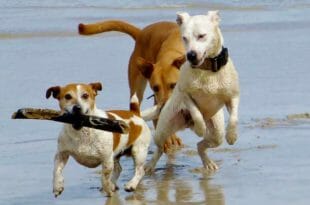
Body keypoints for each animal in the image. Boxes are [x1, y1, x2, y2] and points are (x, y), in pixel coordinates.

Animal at [144, 11, 241, 171]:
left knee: (200, 145)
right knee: (160, 147)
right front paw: (199, 128)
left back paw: (207, 162)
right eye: (184, 38)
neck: (207, 71)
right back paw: (149, 165)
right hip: (163, 129)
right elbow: (196, 113)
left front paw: (232, 136)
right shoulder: (186, 95)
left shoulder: (233, 97)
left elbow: (234, 118)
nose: (190, 55)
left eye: (201, 36)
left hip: (216, 135)